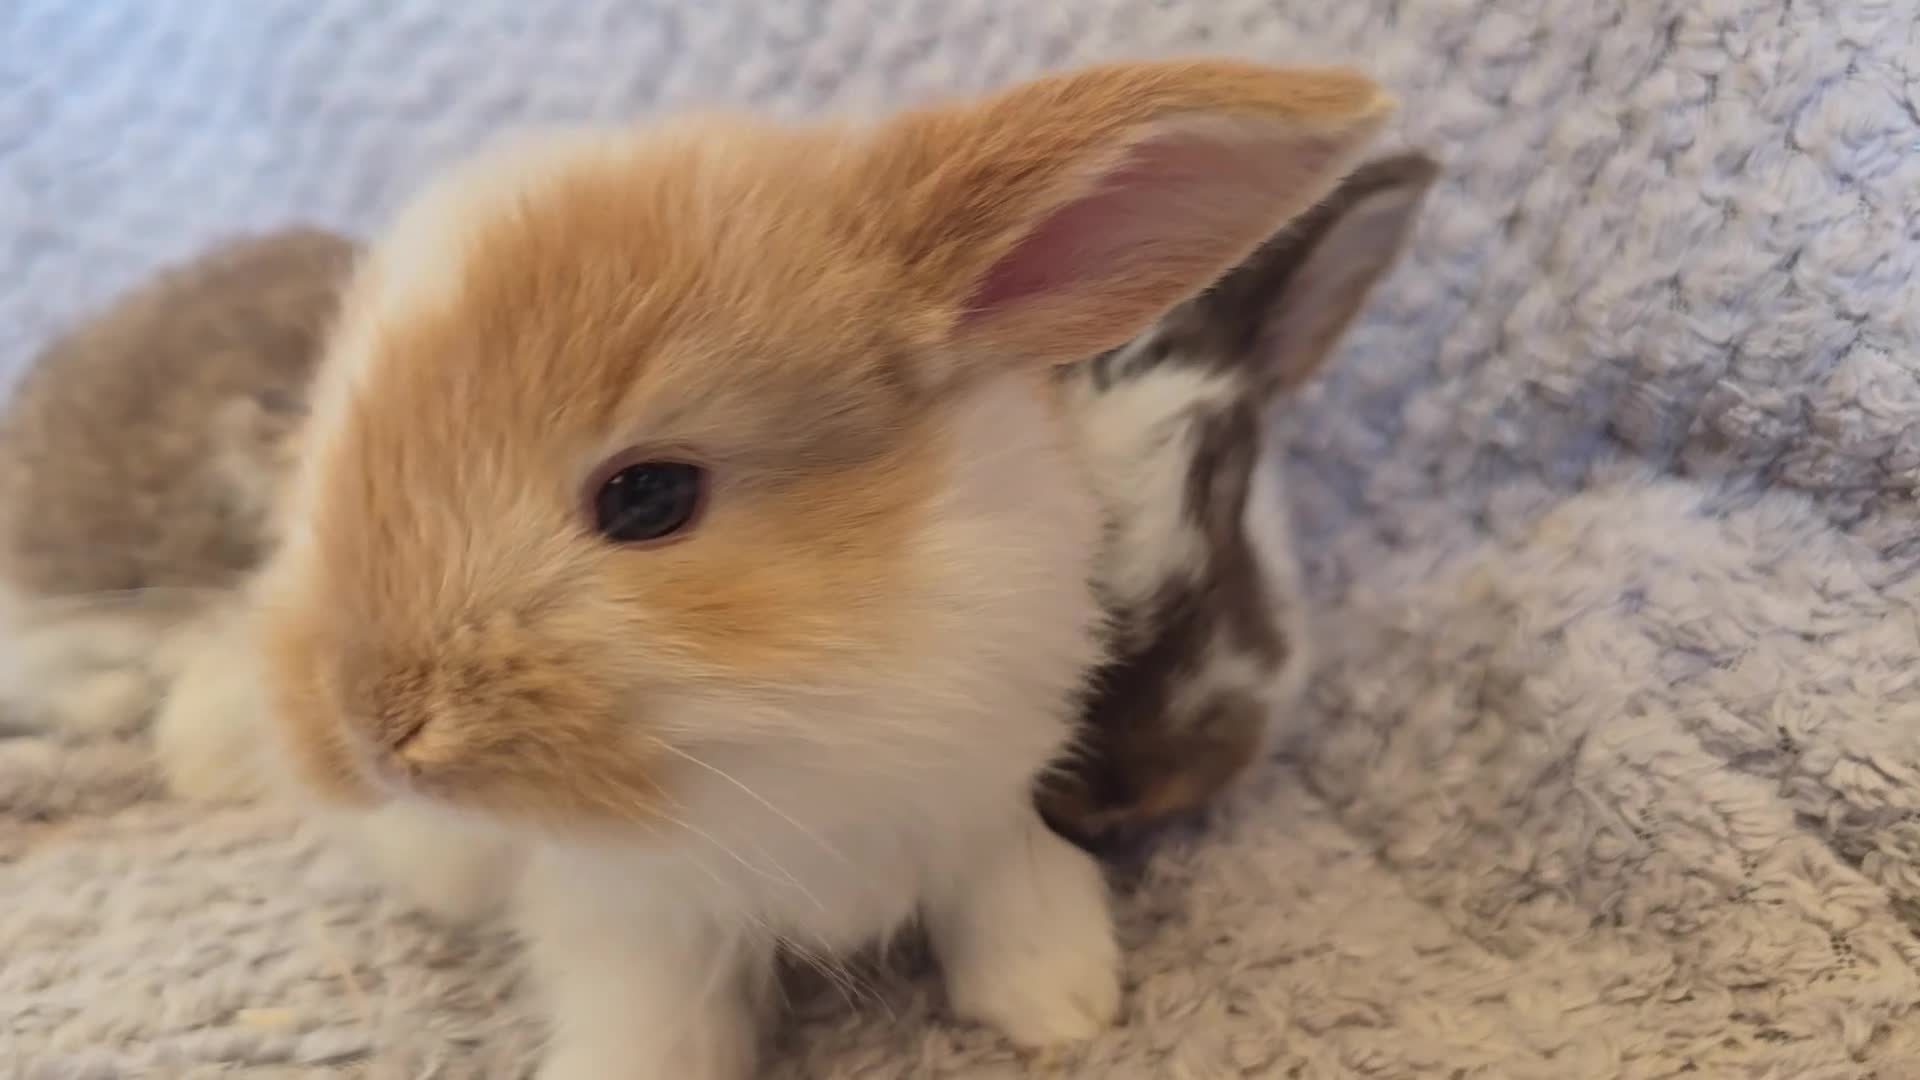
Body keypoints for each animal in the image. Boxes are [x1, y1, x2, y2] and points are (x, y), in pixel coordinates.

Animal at [139, 58, 1396, 1079]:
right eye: (331, 459)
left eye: (650, 497)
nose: (373, 733)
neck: (780, 723)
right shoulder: (630, 922)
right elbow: (658, 1032)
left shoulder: (985, 801)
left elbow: (1010, 901)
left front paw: (1061, 1009)